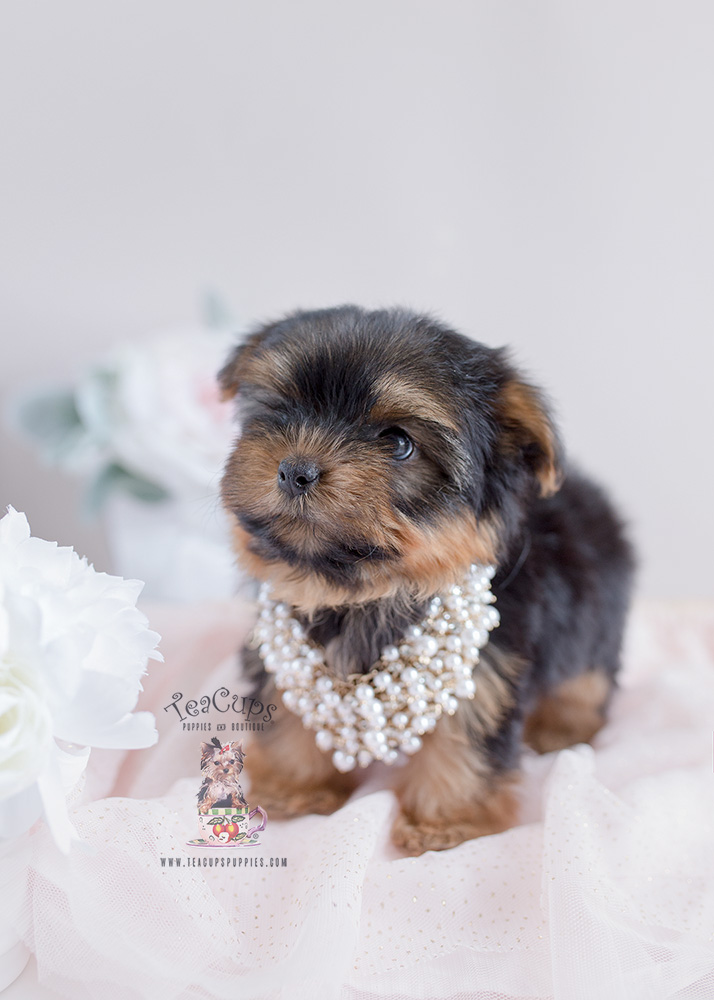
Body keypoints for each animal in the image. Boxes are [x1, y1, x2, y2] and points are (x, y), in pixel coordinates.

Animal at [218, 304, 636, 852]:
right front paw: (296, 787)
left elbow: (463, 738)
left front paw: (446, 822)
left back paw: (562, 729)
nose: (296, 469)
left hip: (597, 623)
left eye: (398, 443)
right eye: (281, 411)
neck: (368, 592)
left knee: (588, 677)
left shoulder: (488, 668)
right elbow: (287, 711)